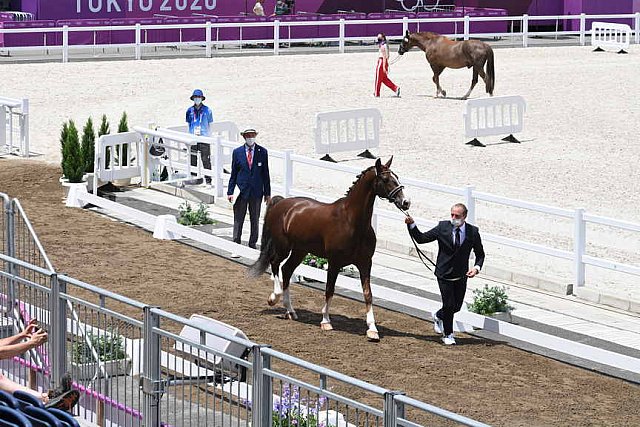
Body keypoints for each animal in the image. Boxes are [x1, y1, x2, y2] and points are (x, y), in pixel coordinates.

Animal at [248, 159, 412, 342]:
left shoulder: (365, 263)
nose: (405, 202)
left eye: (396, 177)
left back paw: (290, 311)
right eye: (385, 179)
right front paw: (325, 321)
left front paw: (372, 329)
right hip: (283, 246)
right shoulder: (334, 262)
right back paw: (274, 298)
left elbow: (368, 294)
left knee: (287, 269)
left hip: (300, 251)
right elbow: (329, 290)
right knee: (275, 264)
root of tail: (282, 203)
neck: (351, 221)